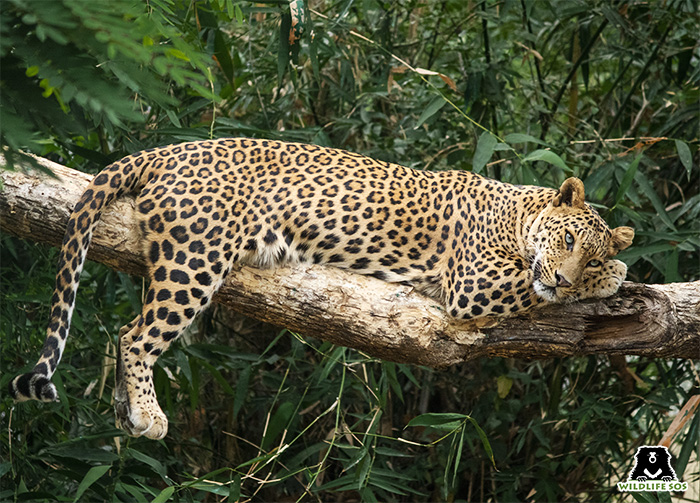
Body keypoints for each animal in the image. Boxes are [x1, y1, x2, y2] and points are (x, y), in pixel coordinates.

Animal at [9, 136, 636, 440]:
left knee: (125, 328)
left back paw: (124, 409)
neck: (519, 211)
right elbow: (540, 286)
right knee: (138, 335)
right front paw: (613, 276)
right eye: (567, 240)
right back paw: (147, 413)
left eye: (587, 249)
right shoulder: (472, 283)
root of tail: (164, 149)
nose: (563, 276)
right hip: (195, 261)